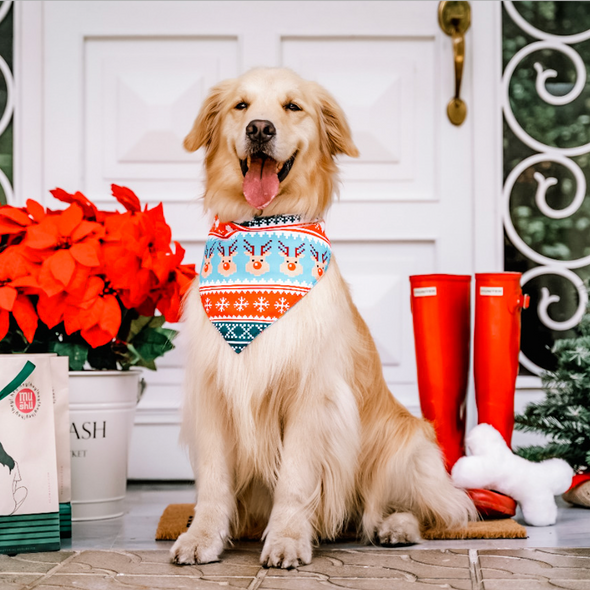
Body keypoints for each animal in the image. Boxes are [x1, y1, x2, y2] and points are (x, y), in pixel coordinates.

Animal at [171, 67, 476, 572]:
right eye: (241, 106)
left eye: (293, 107)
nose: (259, 129)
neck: (263, 228)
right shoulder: (213, 392)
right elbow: (213, 482)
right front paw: (203, 537)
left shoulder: (312, 395)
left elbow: (296, 480)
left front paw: (288, 539)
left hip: (404, 443)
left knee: (432, 510)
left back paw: (395, 527)